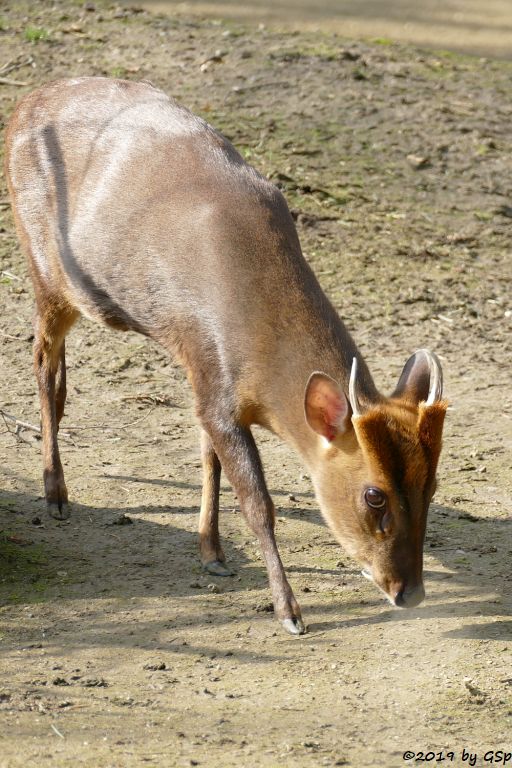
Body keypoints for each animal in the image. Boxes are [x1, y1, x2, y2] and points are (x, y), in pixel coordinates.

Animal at [4, 78, 446, 632]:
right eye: (374, 494)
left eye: (432, 483)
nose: (409, 592)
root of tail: (23, 103)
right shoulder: (214, 380)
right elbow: (257, 502)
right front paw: (289, 611)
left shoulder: (204, 381)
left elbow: (208, 458)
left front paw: (211, 553)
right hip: (44, 269)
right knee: (42, 364)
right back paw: (55, 494)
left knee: (59, 375)